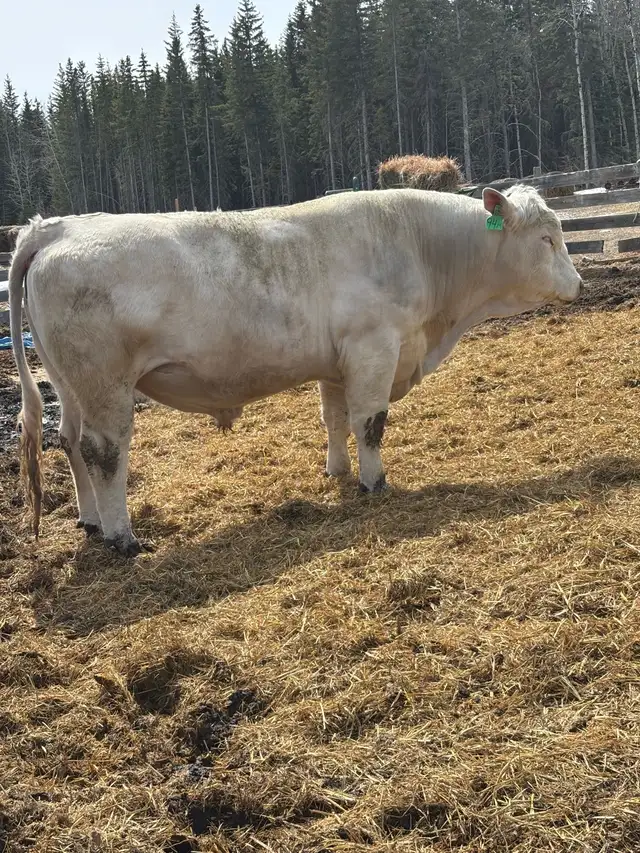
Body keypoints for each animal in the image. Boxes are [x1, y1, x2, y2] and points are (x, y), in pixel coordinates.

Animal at [9, 185, 582, 557]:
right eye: (547, 239)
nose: (577, 284)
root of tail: (53, 229)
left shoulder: (337, 363)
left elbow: (335, 419)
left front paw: (338, 472)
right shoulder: (375, 349)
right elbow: (370, 422)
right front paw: (375, 483)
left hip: (69, 384)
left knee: (69, 441)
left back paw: (89, 520)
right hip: (105, 386)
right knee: (104, 453)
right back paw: (122, 537)